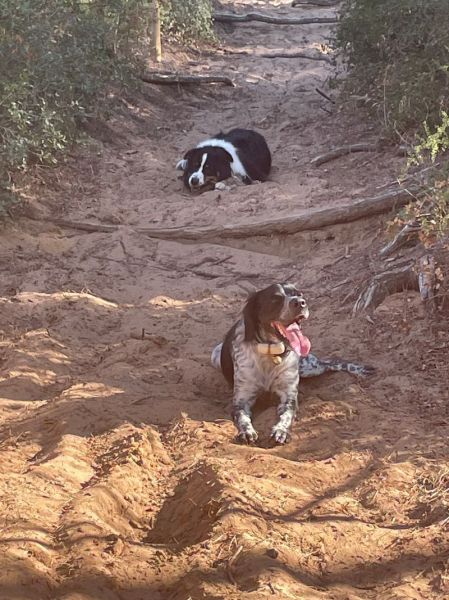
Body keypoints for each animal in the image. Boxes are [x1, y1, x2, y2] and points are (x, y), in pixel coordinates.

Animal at [212, 284, 372, 446]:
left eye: (299, 294)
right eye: (275, 299)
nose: (300, 303)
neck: (272, 353)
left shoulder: (289, 396)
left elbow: (287, 416)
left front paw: (281, 431)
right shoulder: (241, 400)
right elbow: (243, 418)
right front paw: (247, 432)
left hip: (309, 366)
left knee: (330, 361)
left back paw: (358, 369)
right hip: (215, 355)